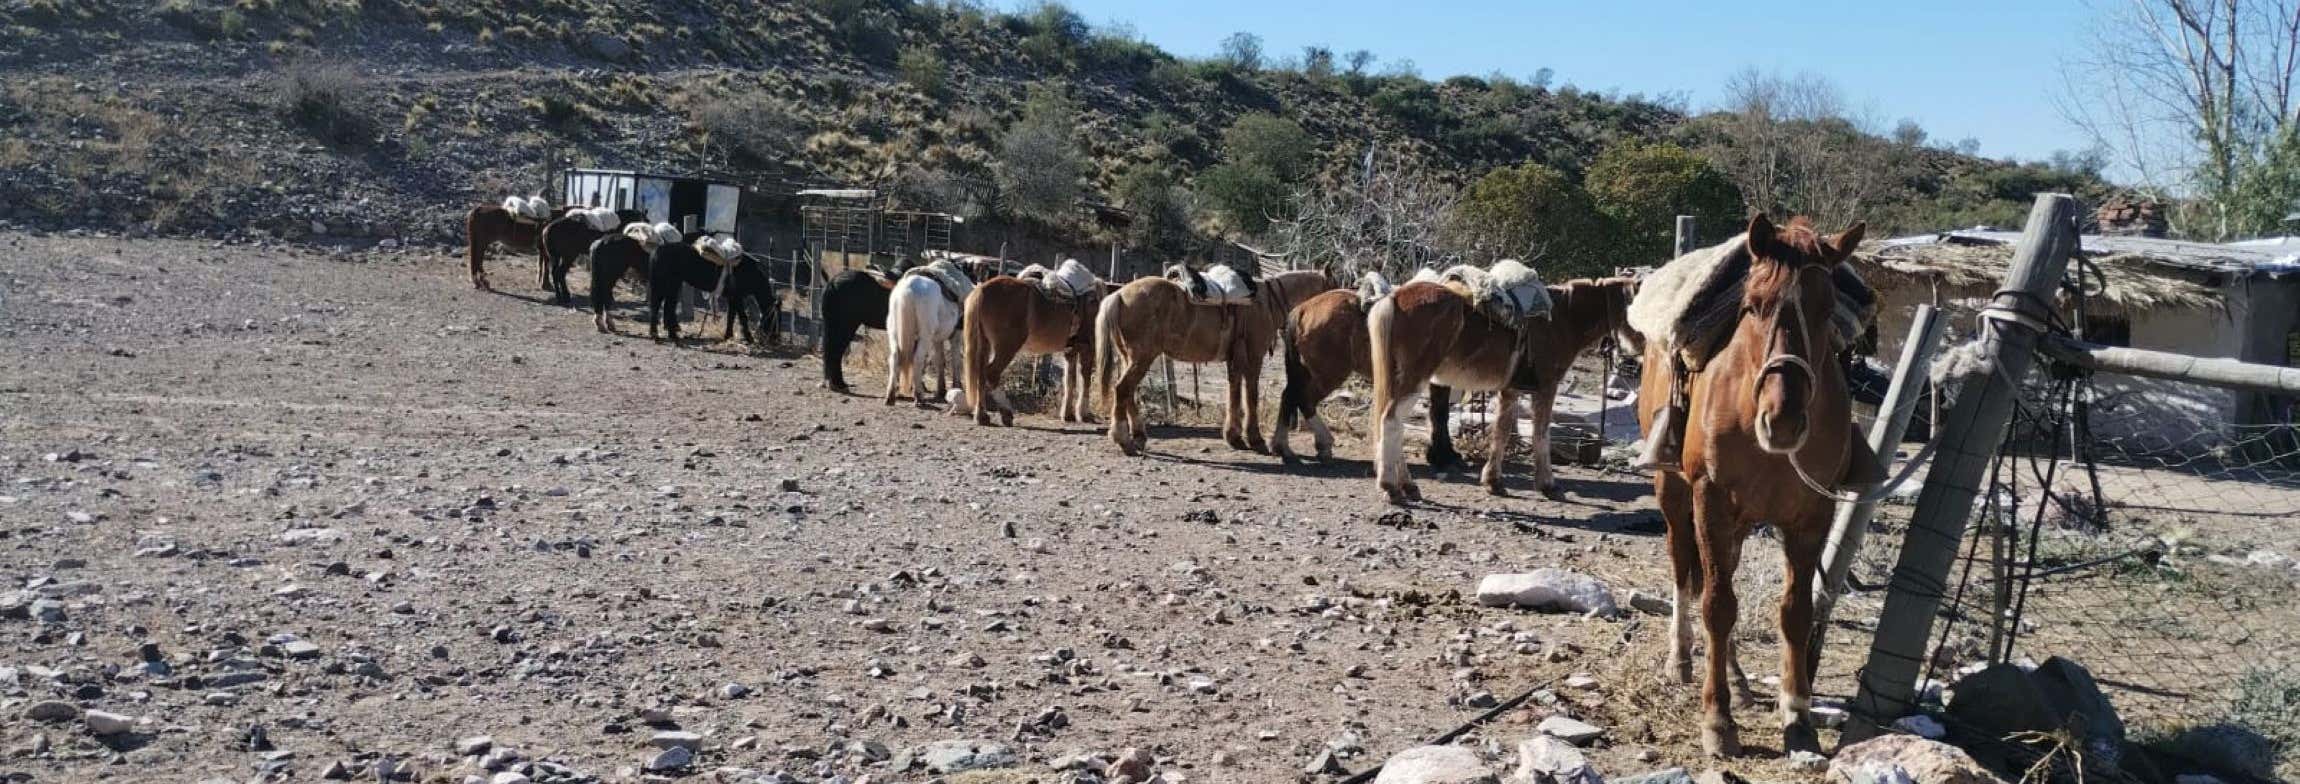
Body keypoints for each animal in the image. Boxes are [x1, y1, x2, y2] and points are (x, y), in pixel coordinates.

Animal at [883, 261, 979, 408]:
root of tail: (908, 290)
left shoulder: (937, 339)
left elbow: (940, 360)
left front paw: (941, 389)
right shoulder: (956, 335)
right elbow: (955, 361)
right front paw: (956, 386)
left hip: (894, 333)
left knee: (894, 358)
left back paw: (890, 396)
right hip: (925, 336)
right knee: (917, 359)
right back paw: (919, 397)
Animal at [961, 261, 1107, 426]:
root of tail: (982, 290)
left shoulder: (1070, 351)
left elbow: (1070, 381)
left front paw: (1067, 415)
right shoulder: (1088, 348)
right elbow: (1085, 381)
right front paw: (1084, 414)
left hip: (984, 345)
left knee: (980, 376)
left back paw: (981, 416)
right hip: (1007, 347)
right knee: (991, 374)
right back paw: (1006, 413)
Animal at [1095, 268, 1338, 455]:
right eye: (1334, 287)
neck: (1265, 302)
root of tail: (1119, 295)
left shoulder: (1234, 361)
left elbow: (1234, 393)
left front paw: (1234, 437)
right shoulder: (1254, 358)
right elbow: (1251, 396)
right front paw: (1255, 439)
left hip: (1130, 358)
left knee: (1127, 393)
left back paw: (1138, 437)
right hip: (1142, 357)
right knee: (1122, 389)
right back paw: (1123, 439)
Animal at [1635, 214, 1866, 758]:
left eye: (1827, 309)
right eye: (1754, 304)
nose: (1782, 420)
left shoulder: (1810, 516)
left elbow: (1795, 612)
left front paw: (1797, 715)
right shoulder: (1710, 501)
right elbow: (1717, 606)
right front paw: (1717, 720)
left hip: (1738, 524)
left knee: (1717, 578)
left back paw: (1739, 681)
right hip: (1674, 493)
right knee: (1685, 569)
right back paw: (1681, 660)